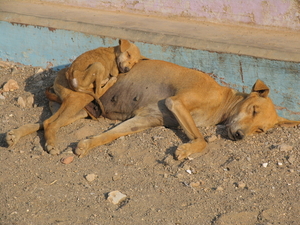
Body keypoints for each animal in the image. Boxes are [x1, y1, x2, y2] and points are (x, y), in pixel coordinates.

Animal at [5, 59, 300, 159]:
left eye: (261, 130)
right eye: (253, 109)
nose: (239, 137)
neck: (223, 103)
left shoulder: (145, 119)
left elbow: (110, 135)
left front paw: (86, 144)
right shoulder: (176, 103)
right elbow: (202, 139)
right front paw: (185, 150)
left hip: (79, 110)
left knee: (43, 122)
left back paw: (15, 134)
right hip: (77, 100)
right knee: (50, 123)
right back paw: (50, 143)